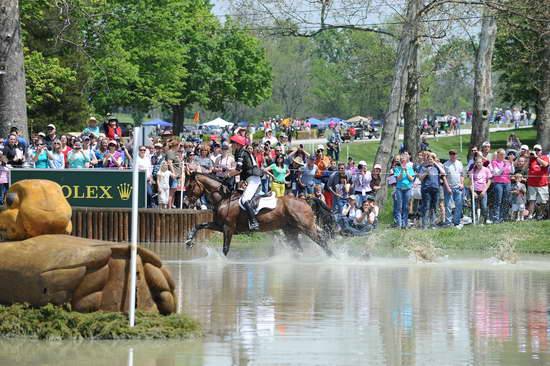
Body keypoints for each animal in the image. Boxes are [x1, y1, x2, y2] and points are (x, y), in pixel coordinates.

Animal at [184, 172, 336, 256]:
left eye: (190, 186)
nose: (185, 203)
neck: (224, 199)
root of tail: (305, 200)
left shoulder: (228, 228)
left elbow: (225, 249)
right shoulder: (219, 225)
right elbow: (199, 225)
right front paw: (189, 240)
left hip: (306, 227)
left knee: (322, 241)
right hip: (291, 231)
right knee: (300, 248)